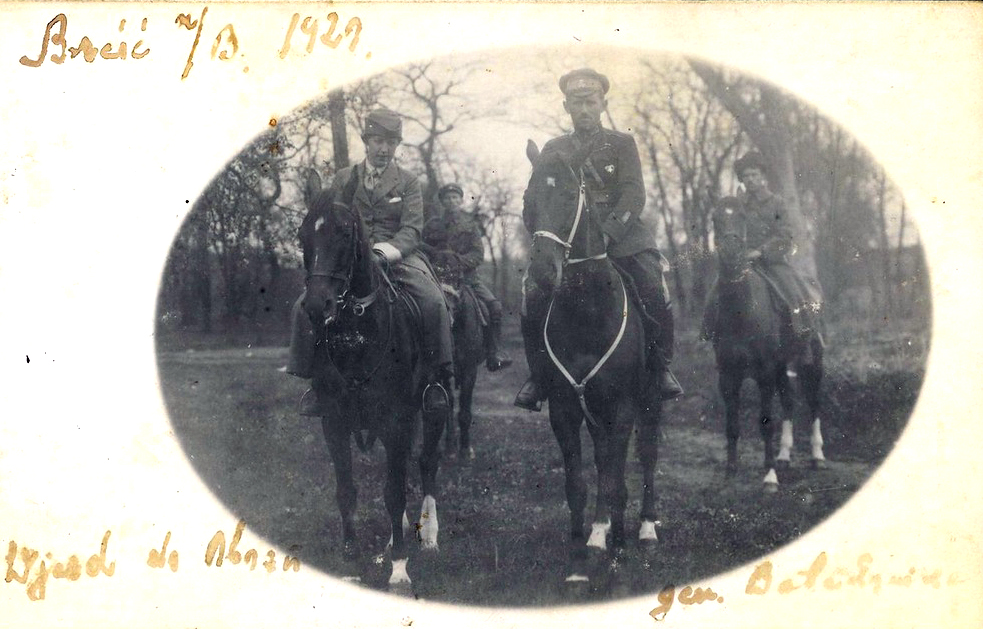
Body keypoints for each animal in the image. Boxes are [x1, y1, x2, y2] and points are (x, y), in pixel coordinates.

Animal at [299, 190, 447, 594]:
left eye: (344, 233)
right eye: (302, 237)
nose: (317, 306)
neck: (358, 336)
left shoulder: (396, 422)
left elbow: (393, 493)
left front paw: (399, 568)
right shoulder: (333, 422)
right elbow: (347, 490)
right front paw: (351, 561)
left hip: (436, 406)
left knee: (426, 463)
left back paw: (428, 534)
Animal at [524, 142, 662, 584]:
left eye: (570, 197)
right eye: (529, 200)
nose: (541, 274)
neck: (586, 310)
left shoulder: (623, 407)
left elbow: (617, 481)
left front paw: (616, 549)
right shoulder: (564, 409)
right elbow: (578, 483)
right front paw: (578, 558)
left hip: (651, 400)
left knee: (646, 455)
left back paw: (644, 529)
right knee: (604, 461)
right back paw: (603, 532)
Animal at [710, 203, 826, 492]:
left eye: (741, 217)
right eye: (715, 219)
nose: (731, 251)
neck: (741, 310)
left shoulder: (764, 374)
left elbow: (766, 423)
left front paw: (769, 477)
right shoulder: (727, 376)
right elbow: (732, 425)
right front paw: (730, 473)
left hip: (812, 361)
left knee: (813, 401)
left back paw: (817, 455)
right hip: (782, 366)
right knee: (788, 401)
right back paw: (784, 455)